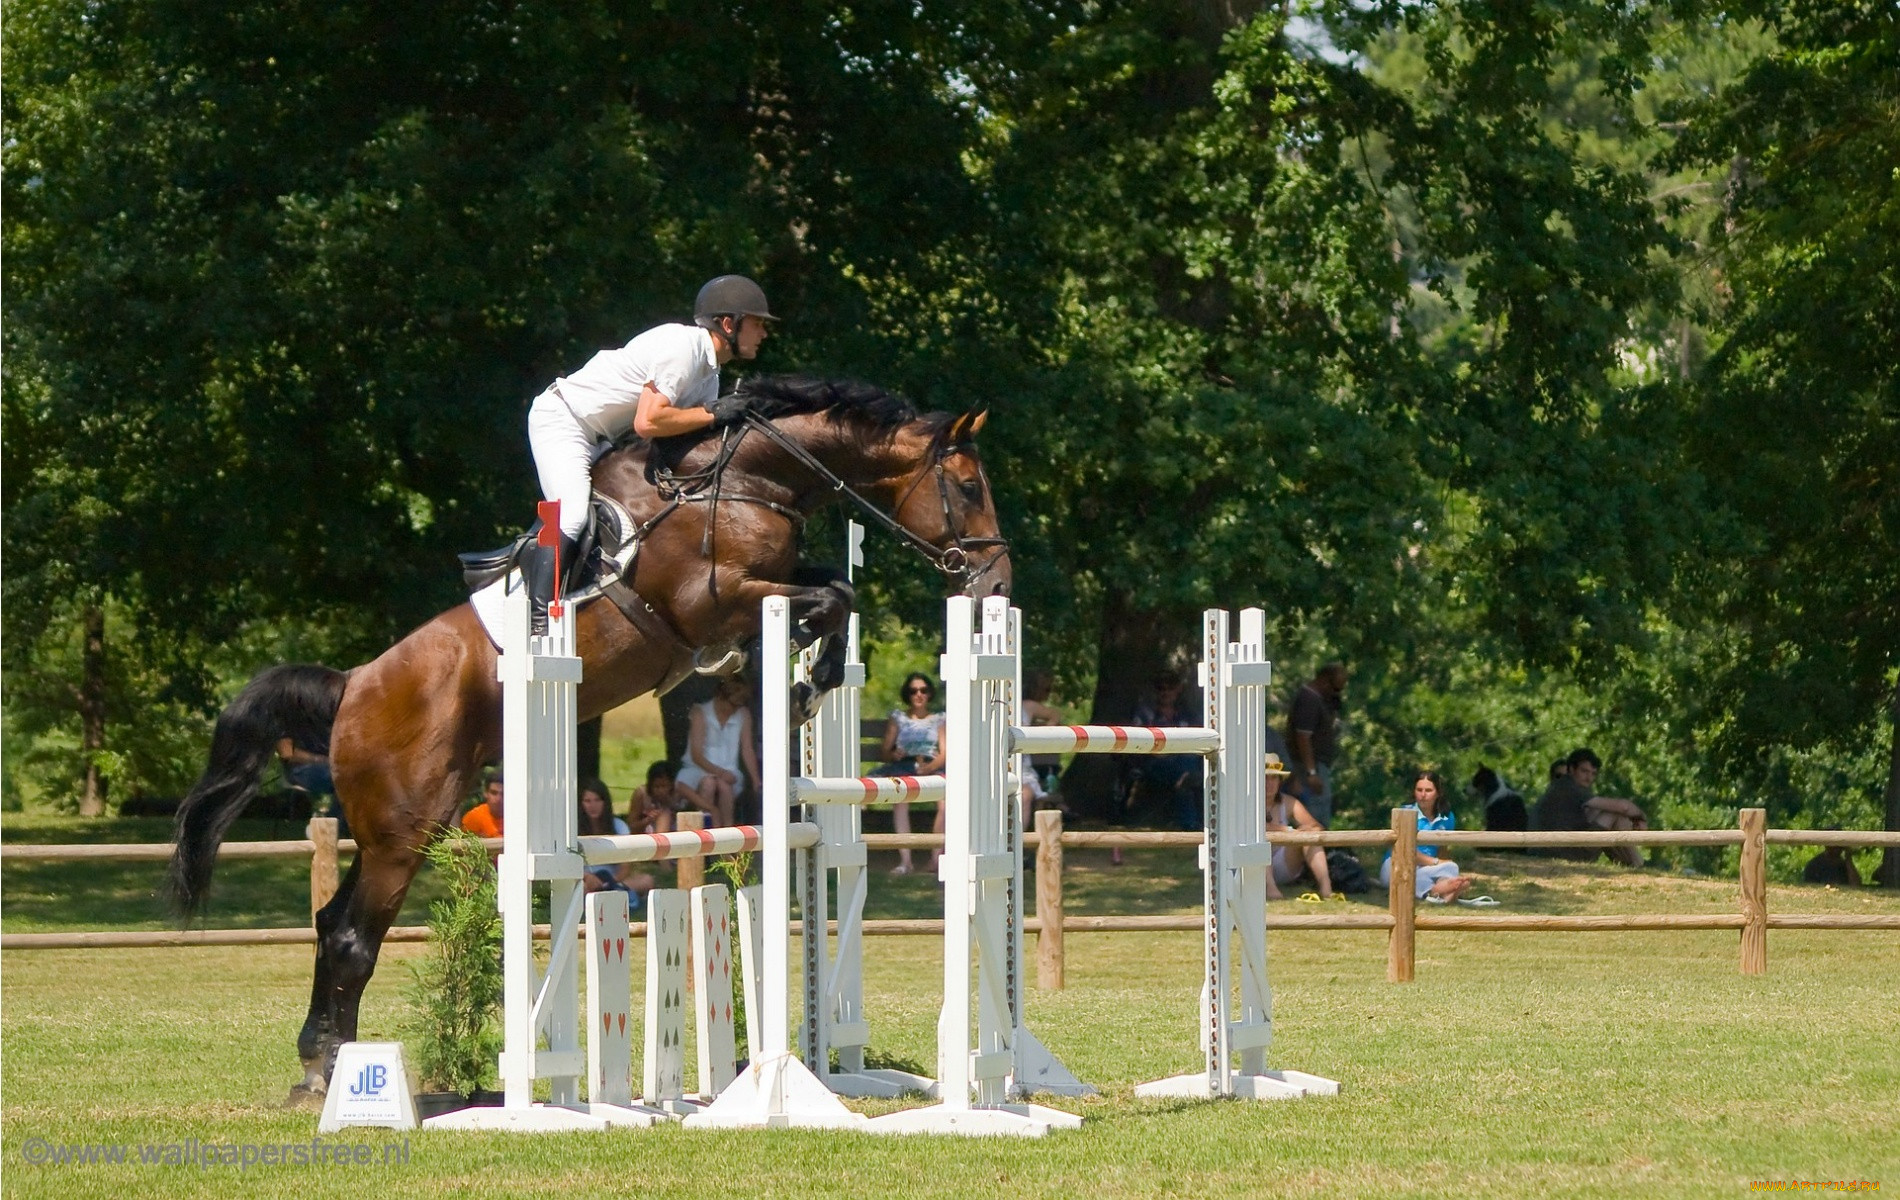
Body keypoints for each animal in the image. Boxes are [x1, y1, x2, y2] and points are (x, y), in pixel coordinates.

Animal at [171, 377, 1018, 1108]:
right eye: (969, 487)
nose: (997, 583)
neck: (743, 480)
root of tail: (352, 685)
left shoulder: (767, 582)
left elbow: (835, 590)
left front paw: (809, 678)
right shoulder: (715, 600)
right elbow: (828, 596)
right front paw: (801, 680)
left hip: (401, 827)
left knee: (332, 925)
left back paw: (319, 1063)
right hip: (402, 830)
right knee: (351, 936)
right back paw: (333, 1074)